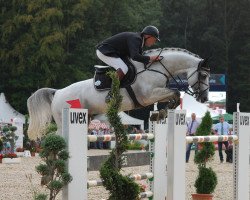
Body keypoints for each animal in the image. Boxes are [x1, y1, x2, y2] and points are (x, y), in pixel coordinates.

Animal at [27, 48, 210, 139]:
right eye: (203, 75)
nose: (204, 98)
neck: (156, 68)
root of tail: (57, 92)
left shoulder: (155, 94)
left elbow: (174, 95)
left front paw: (161, 113)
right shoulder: (148, 96)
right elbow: (175, 92)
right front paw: (161, 112)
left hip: (87, 117)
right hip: (63, 120)